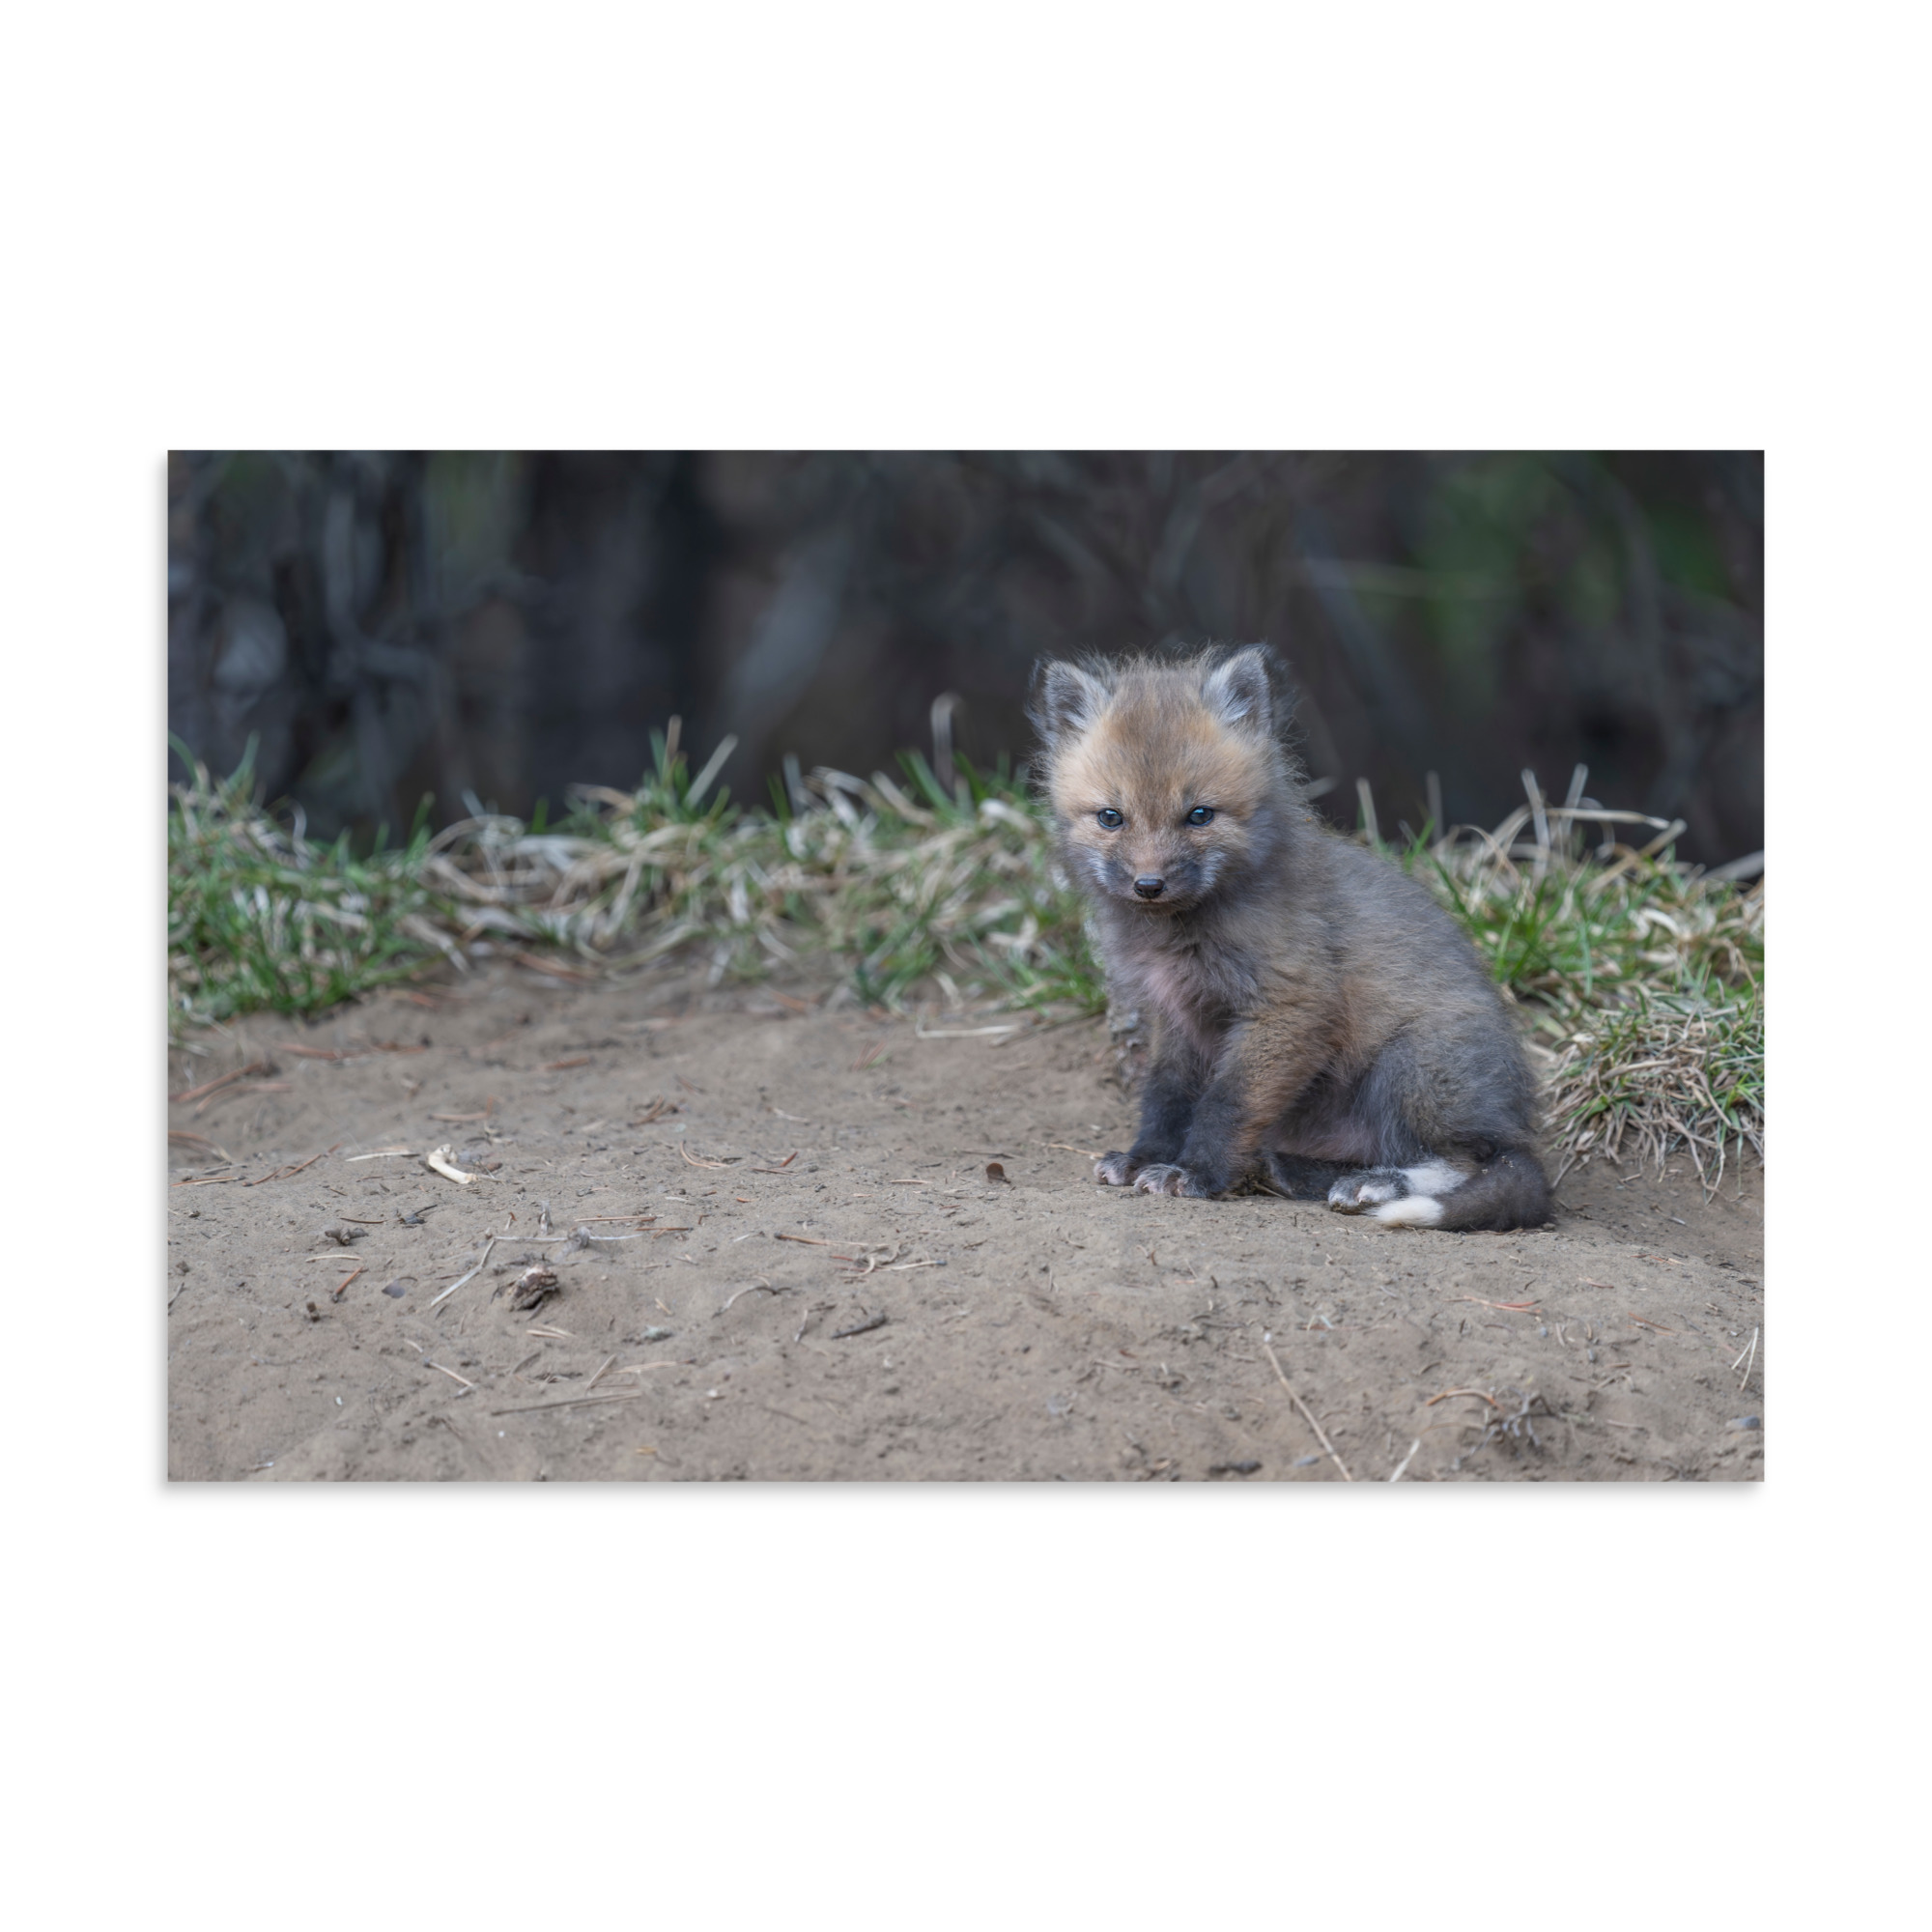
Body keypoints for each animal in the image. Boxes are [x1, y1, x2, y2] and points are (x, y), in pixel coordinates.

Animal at [1029, 644, 1552, 1231]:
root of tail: (1515, 1120)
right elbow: (1166, 1097)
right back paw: (1298, 1171)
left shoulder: (1289, 1005)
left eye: (1199, 815)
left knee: (1474, 1161)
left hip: (1411, 1066)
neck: (1180, 935)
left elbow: (1226, 1104)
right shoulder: (1177, 1016)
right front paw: (1146, 1157)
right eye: (1111, 817)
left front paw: (1196, 1174)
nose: (1149, 885)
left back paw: (1376, 1185)